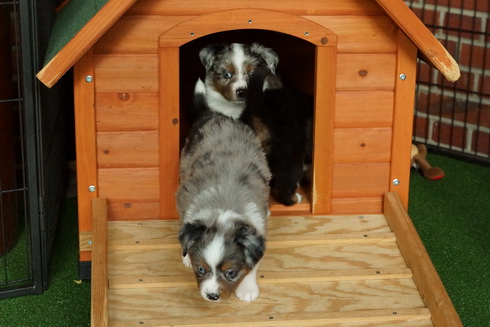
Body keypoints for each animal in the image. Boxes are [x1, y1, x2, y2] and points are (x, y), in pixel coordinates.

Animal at [177, 109, 272, 302]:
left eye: (230, 273)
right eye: (200, 269)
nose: (212, 296)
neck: (222, 210)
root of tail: (217, 115)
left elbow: (253, 265)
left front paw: (247, 289)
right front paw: (187, 256)